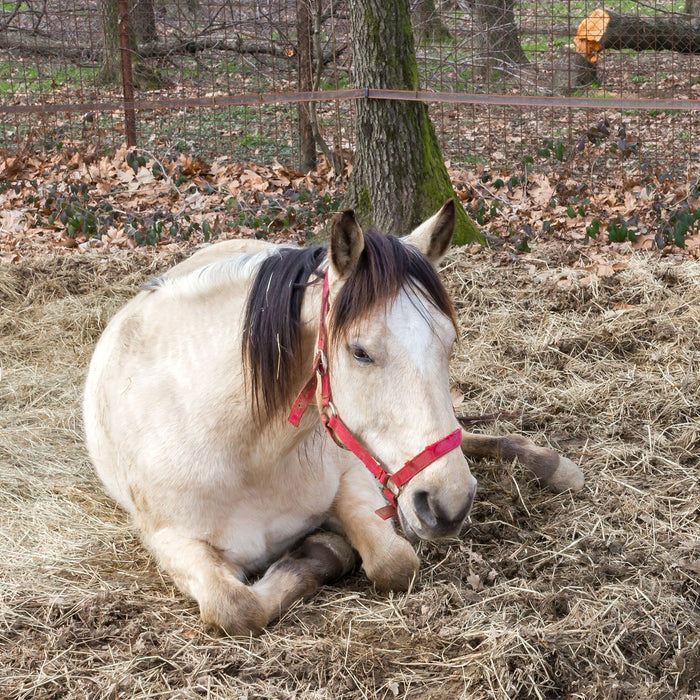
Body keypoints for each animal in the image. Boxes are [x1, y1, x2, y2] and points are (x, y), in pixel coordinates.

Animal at [83, 200, 583, 635]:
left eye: (450, 343)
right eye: (359, 351)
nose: (449, 504)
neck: (244, 452)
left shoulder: (354, 476)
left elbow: (394, 562)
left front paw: (327, 547)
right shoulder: (169, 539)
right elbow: (236, 607)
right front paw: (323, 549)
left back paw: (552, 465)